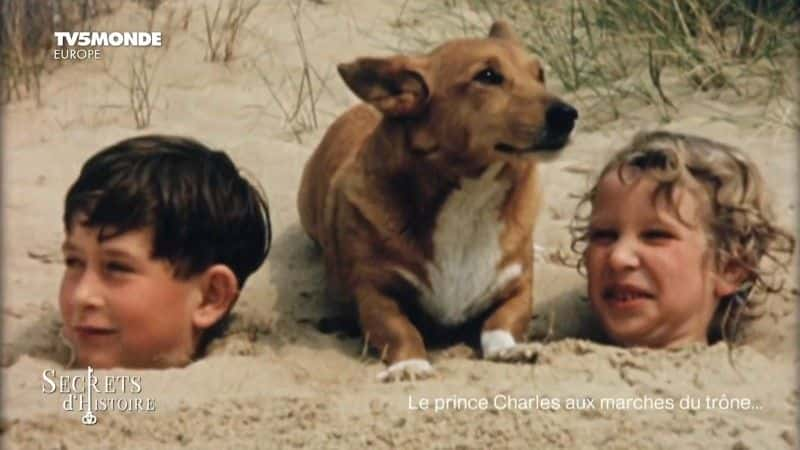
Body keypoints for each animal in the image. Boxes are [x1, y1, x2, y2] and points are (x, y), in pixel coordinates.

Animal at [296, 20, 580, 380]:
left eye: (540, 74)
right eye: (488, 76)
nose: (568, 115)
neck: (471, 197)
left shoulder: (518, 288)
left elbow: (502, 321)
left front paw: (510, 349)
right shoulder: (374, 293)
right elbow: (399, 329)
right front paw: (410, 364)